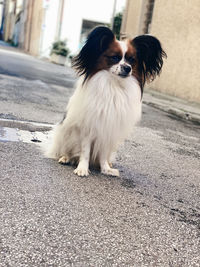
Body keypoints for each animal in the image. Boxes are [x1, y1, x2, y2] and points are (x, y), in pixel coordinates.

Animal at [45, 26, 166, 177]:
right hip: (64, 133)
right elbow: (85, 151)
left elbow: (103, 154)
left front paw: (105, 169)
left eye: (132, 60)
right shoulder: (88, 127)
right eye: (114, 57)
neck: (114, 85)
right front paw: (82, 168)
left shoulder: (108, 129)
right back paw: (65, 157)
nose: (128, 68)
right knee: (67, 150)